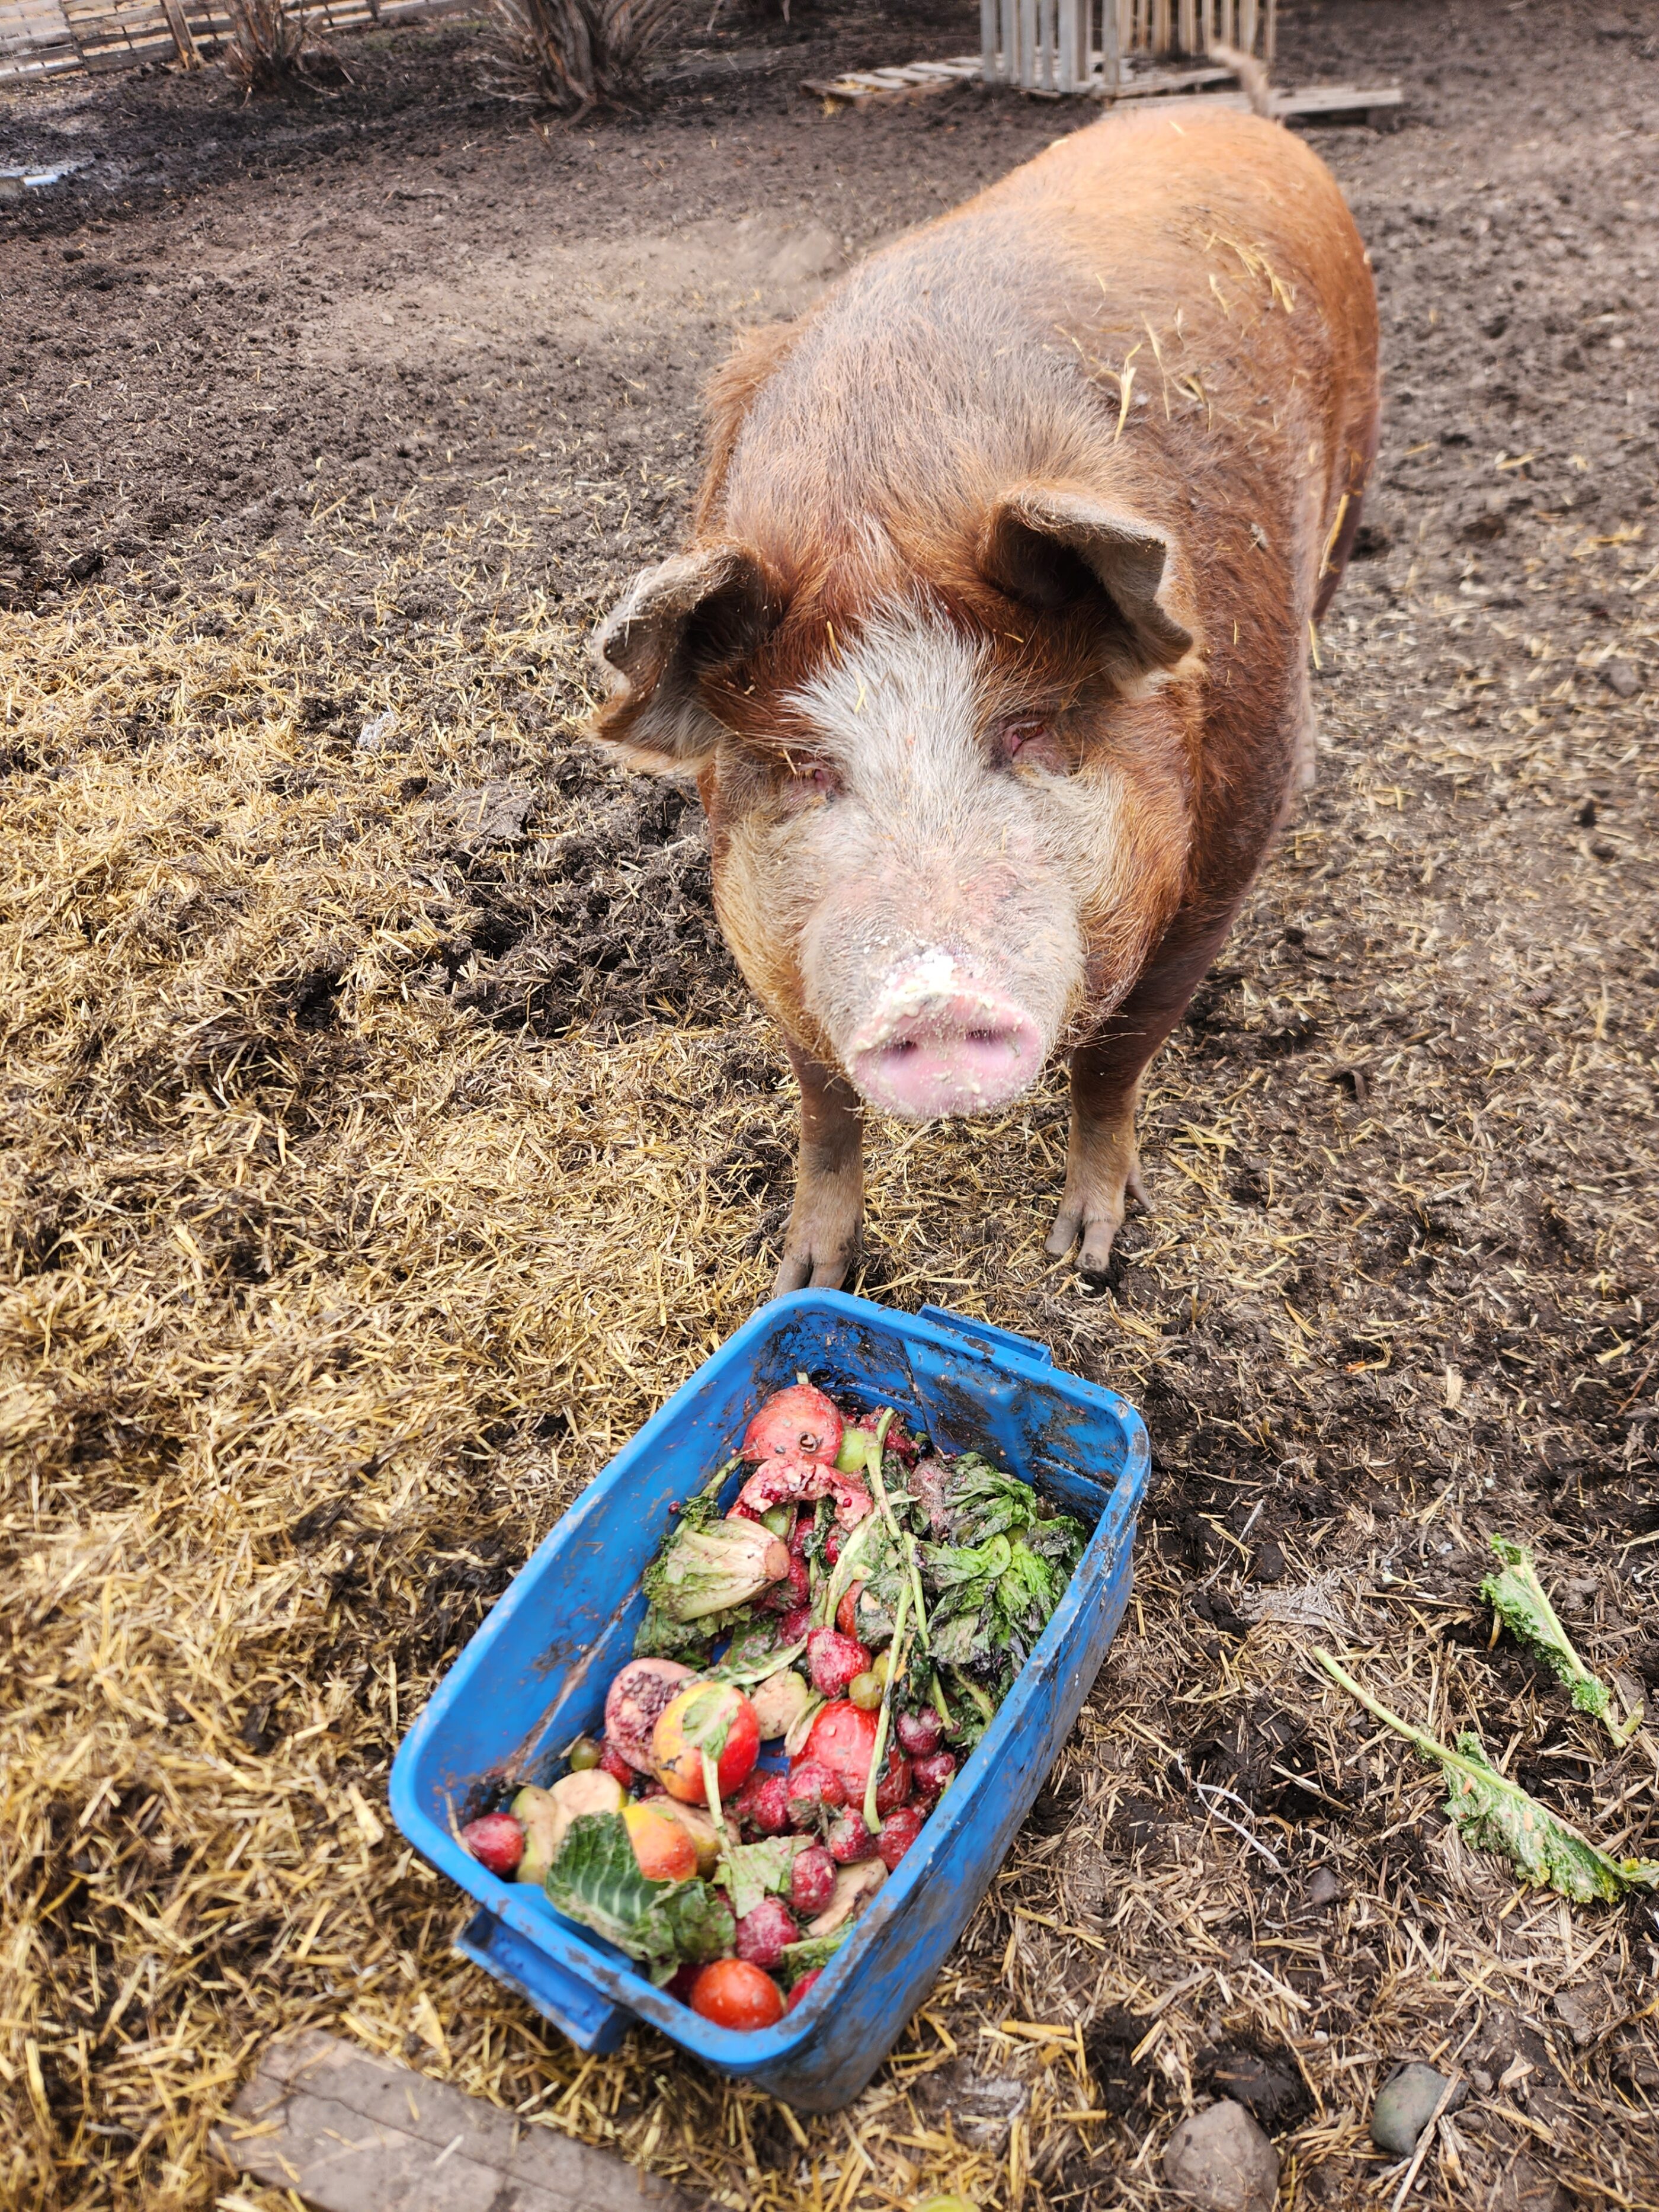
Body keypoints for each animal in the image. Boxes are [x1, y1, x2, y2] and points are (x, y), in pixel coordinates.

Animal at [592, 95, 1380, 1292]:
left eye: (1029, 728)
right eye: (807, 767)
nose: (935, 992)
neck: (887, 489)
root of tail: (1228, 114)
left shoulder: (1230, 844)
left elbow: (1115, 1059)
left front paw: (1088, 1257)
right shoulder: (771, 932)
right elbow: (821, 1101)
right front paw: (804, 1275)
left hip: (1354, 482)